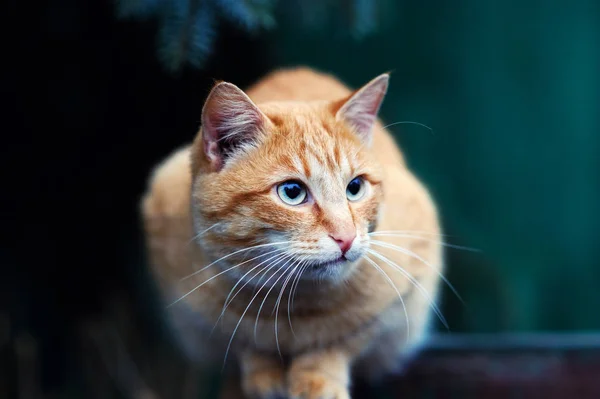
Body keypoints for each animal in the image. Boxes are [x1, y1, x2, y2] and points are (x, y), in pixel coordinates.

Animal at [139, 67, 440, 398]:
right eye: (292, 192)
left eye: (355, 187)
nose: (346, 238)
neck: (290, 306)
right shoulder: (194, 314)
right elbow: (243, 342)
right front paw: (263, 376)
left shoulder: (403, 292)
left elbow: (337, 342)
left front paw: (317, 381)